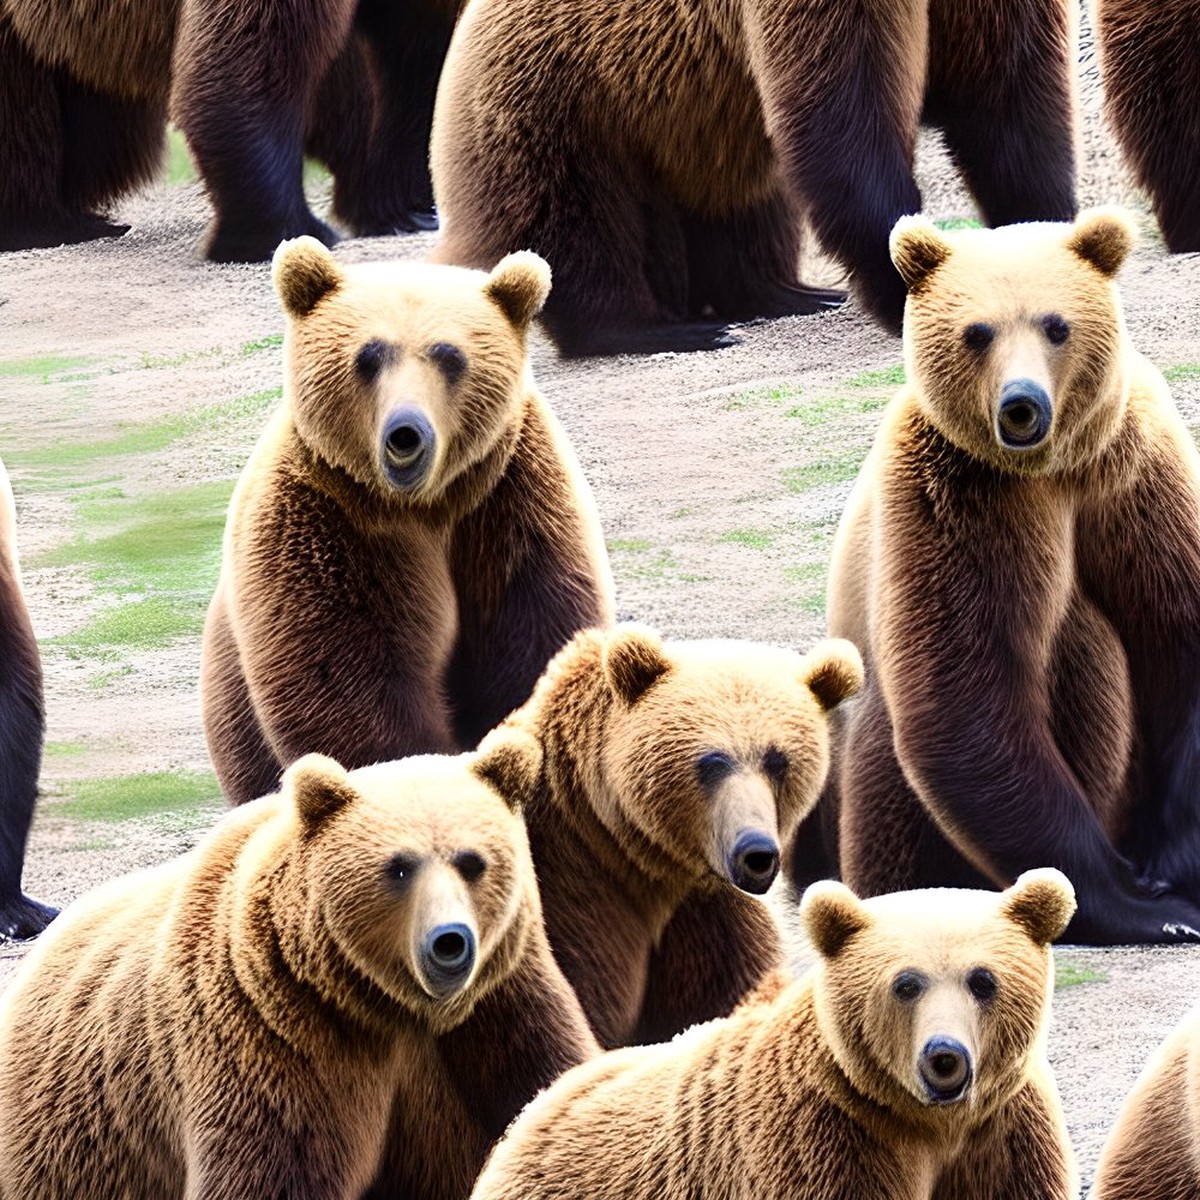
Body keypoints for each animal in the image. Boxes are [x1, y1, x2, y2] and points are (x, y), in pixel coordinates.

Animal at [0, 735, 599, 1200]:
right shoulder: (271, 1030)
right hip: (75, 1130)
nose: (449, 943)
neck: (392, 1007)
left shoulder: (499, 1009)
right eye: (398, 867)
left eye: (473, 862)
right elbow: (273, 1166)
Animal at [201, 238, 613, 805]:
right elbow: (347, 679)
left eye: (450, 356)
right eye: (368, 356)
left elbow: (535, 637)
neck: (425, 506)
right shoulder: (328, 523)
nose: (406, 433)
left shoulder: (509, 503)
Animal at [429, 0, 1077, 357]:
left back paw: (793, 294)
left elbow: (1008, 99)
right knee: (573, 224)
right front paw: (910, 293)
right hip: (567, 98)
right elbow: (844, 115)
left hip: (703, 126)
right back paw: (664, 329)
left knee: (744, 206)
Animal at [469, 868, 1078, 1200]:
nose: (944, 1056)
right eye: (906, 983)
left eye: (983, 980)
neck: (929, 1124)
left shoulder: (1002, 1133)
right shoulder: (828, 1135)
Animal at [786, 208, 1200, 946]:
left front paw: (1175, 864)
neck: (1052, 472)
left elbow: (1177, 632)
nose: (1021, 404)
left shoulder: (1134, 477)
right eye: (976, 331)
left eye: (1056, 324)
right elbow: (966, 696)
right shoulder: (956, 499)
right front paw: (1155, 906)